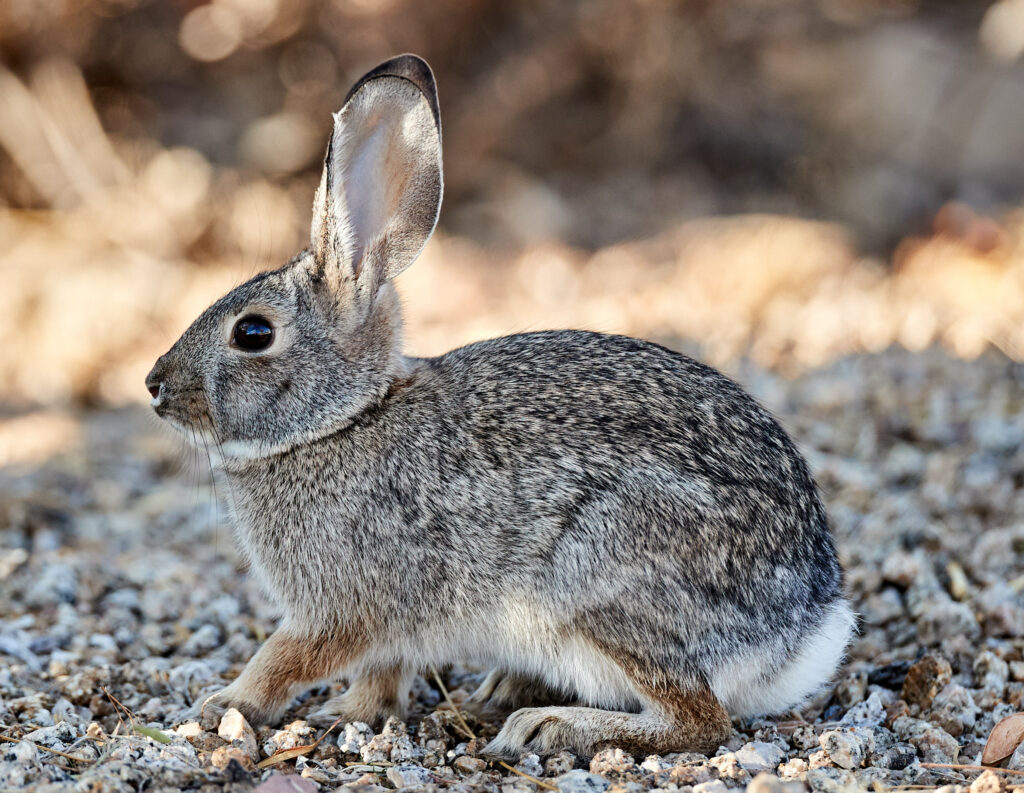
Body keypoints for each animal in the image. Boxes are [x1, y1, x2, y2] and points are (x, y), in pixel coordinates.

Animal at [145, 53, 855, 761]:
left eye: (253, 333)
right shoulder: (391, 626)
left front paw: (223, 705)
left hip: (600, 584)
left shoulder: (341, 606)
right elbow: (381, 675)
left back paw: (551, 726)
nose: (155, 385)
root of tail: (805, 629)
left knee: (701, 721)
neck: (344, 419)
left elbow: (285, 657)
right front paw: (348, 712)